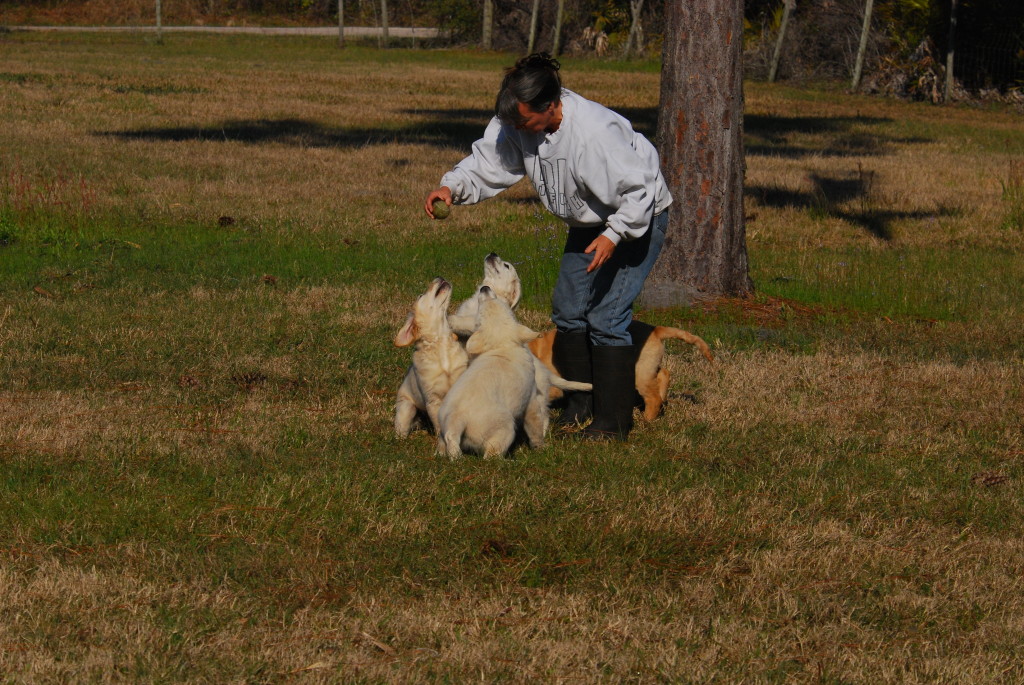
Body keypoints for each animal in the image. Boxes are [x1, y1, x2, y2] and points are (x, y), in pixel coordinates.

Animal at [393, 274, 468, 436]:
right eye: (421, 295)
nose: (438, 276)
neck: (440, 343)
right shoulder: (433, 400)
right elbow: (439, 425)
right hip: (406, 408)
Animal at [434, 286, 593, 456]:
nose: (484, 288)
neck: (503, 346)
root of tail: (456, 424)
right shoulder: (530, 399)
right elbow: (535, 427)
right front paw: (540, 447)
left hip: (444, 434)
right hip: (505, 430)